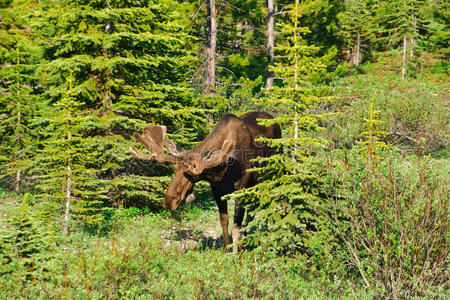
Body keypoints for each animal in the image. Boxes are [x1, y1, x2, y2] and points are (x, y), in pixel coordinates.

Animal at [128, 111, 280, 250]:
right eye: (174, 169)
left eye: (192, 175)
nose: (169, 202)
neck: (223, 170)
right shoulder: (217, 190)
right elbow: (224, 221)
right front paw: (226, 249)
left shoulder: (241, 189)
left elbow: (236, 228)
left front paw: (238, 253)